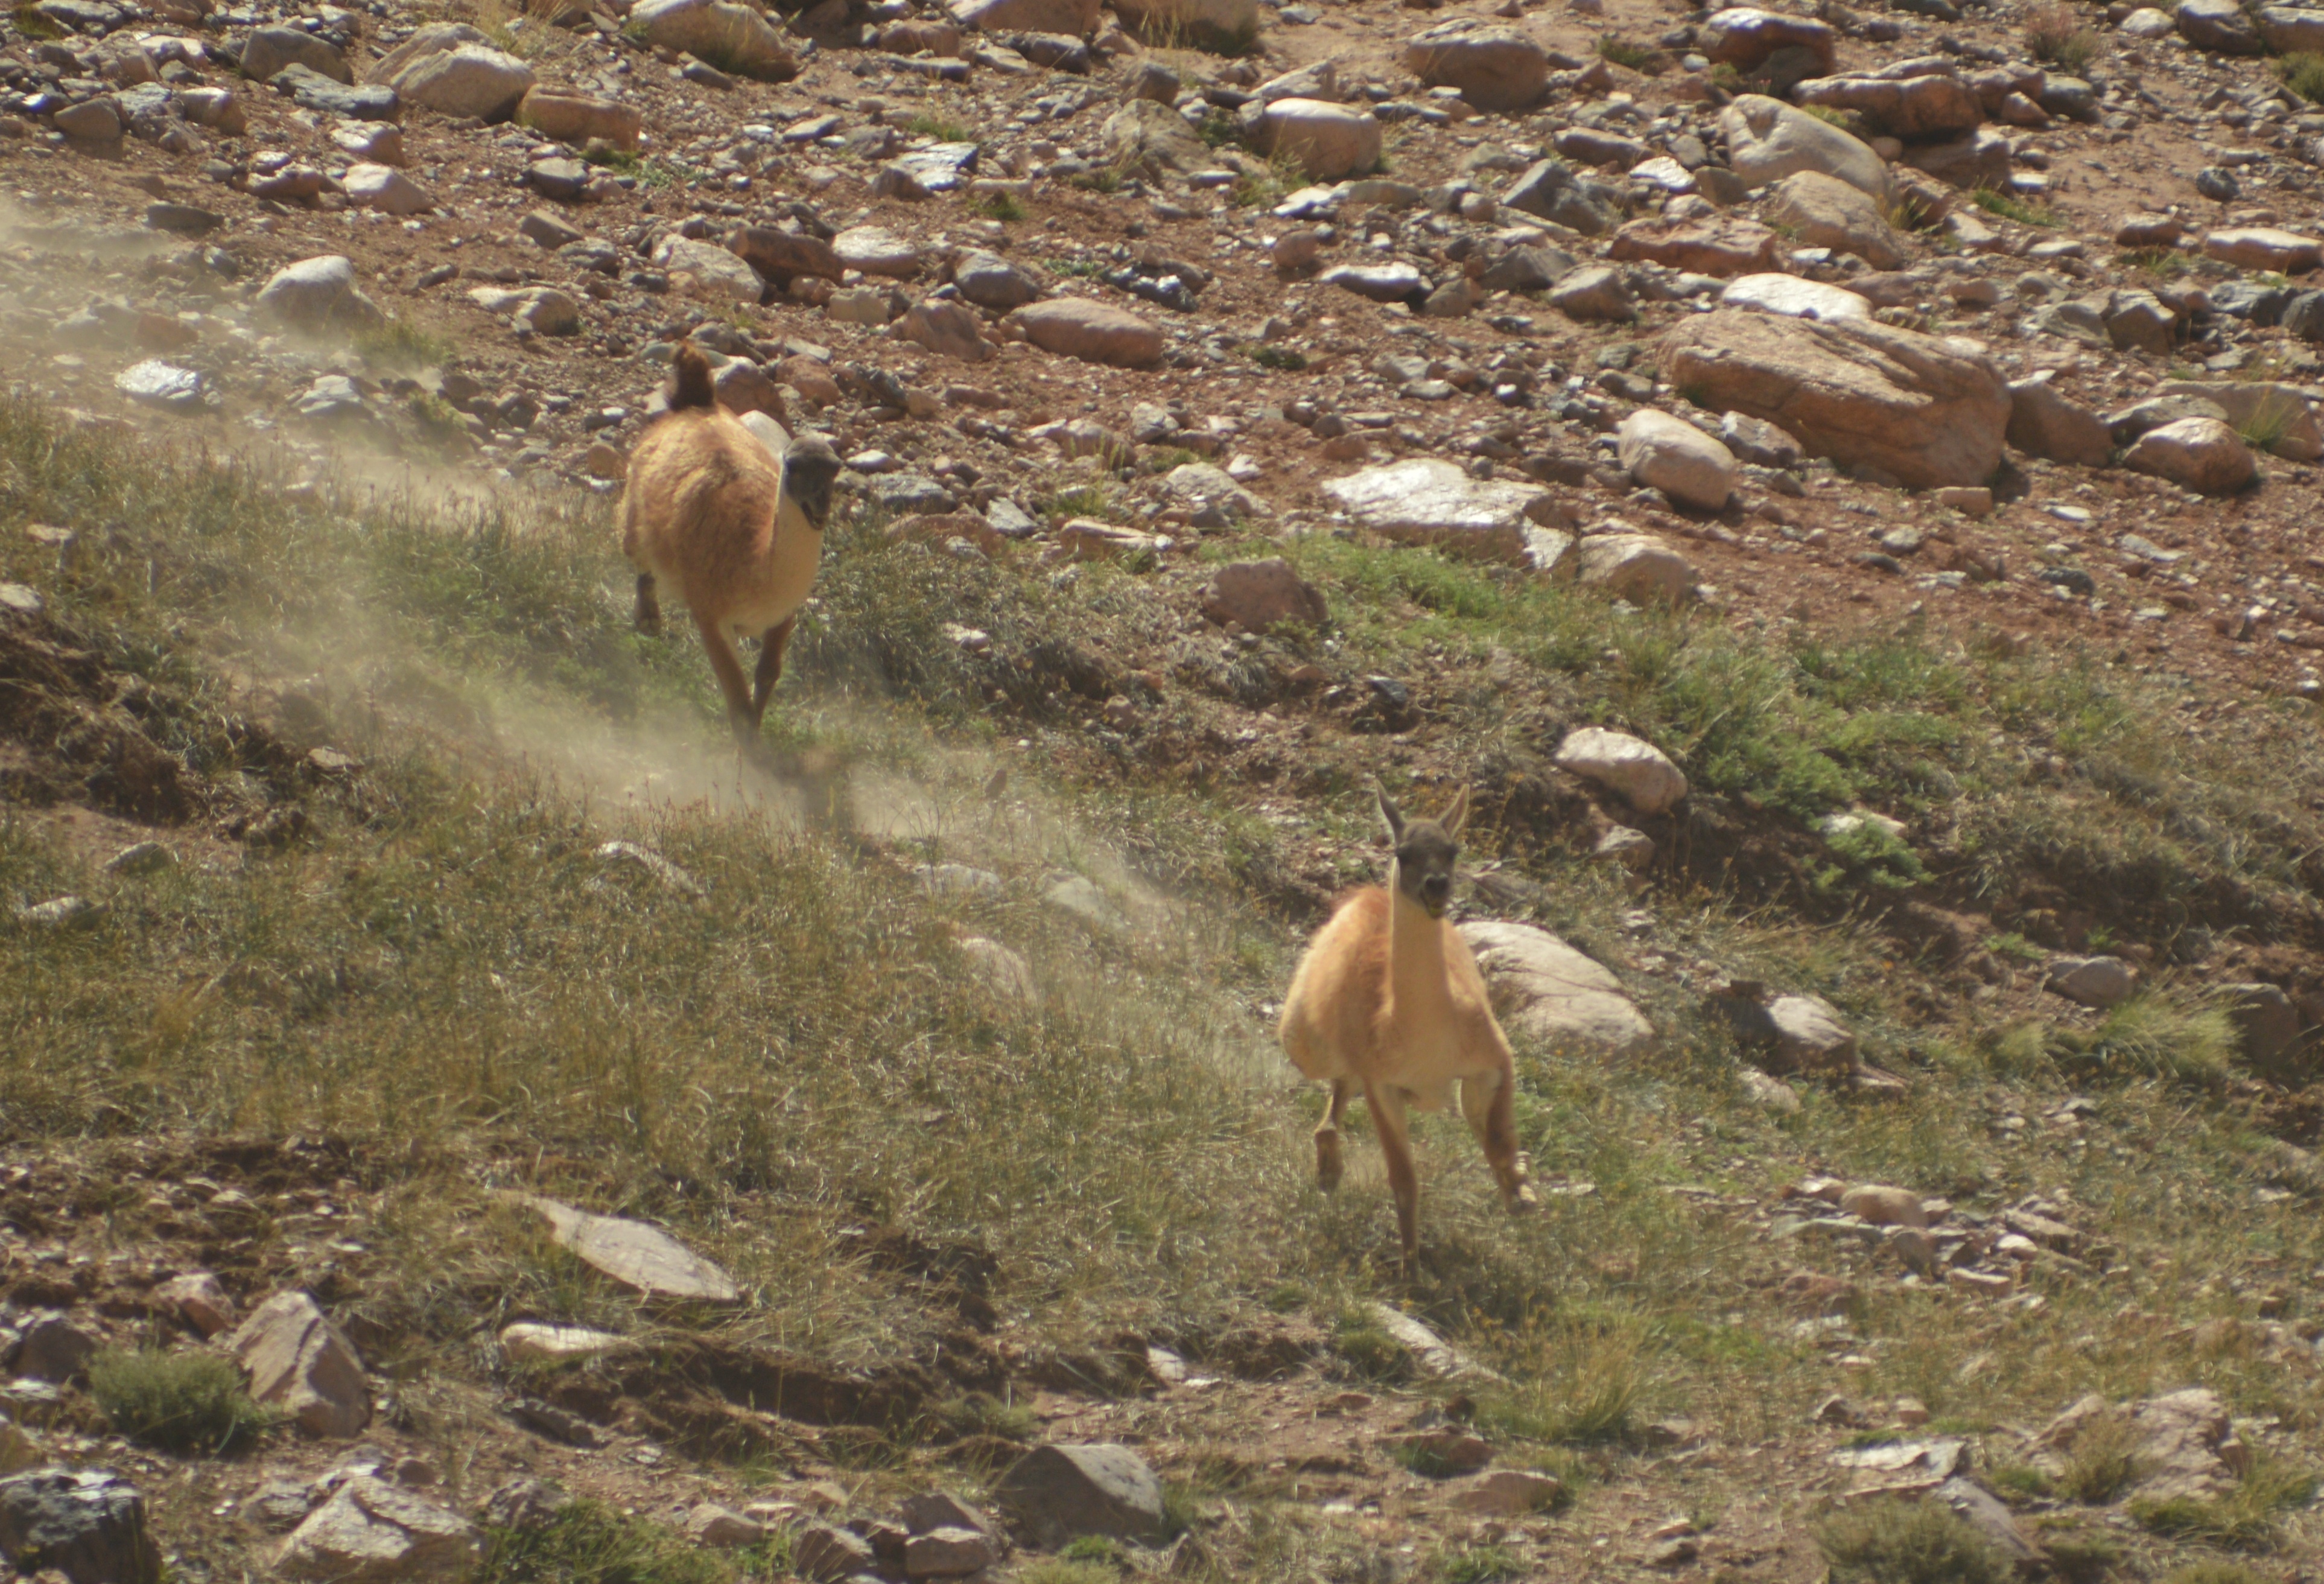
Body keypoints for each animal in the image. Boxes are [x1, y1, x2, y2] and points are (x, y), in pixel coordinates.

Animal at [620, 340, 846, 764]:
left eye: (834, 470)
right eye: (793, 467)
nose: (820, 504)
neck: (756, 570)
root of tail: (698, 401)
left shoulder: (784, 615)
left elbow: (767, 675)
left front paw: (756, 732)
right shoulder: (711, 614)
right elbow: (736, 694)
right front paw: (749, 754)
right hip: (634, 507)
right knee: (640, 560)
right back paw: (649, 621)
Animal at [1277, 782, 1537, 1264]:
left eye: (1453, 850)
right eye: (1403, 852)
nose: (1436, 885)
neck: (1425, 1037)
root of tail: (1366, 897)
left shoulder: (1494, 1055)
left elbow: (1496, 1136)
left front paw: (1519, 1193)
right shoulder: (1383, 1085)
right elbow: (1403, 1180)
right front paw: (1411, 1266)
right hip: (1306, 1043)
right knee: (1334, 1097)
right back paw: (1328, 1172)